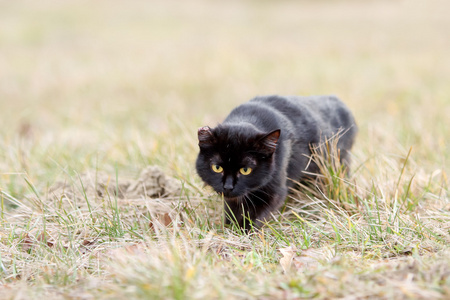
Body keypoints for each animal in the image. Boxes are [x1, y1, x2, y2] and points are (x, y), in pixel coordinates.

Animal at [195, 95, 356, 229]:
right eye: (217, 168)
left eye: (245, 170)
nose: (228, 186)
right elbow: (232, 208)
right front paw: (230, 227)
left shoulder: (274, 190)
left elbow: (257, 213)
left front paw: (245, 231)